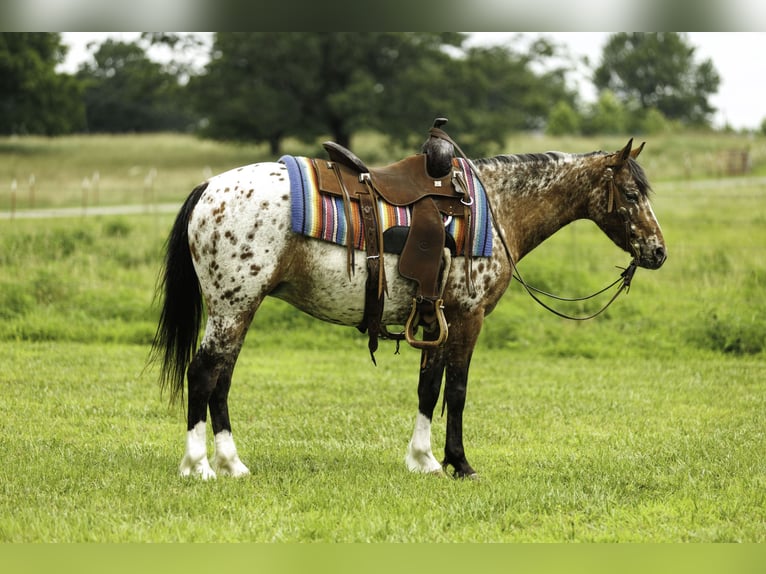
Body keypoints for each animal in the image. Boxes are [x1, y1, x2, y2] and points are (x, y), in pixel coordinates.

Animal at [151, 138, 666, 480]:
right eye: (633, 195)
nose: (658, 252)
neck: (497, 210)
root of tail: (208, 187)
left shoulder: (435, 317)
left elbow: (428, 388)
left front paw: (424, 460)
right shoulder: (467, 316)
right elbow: (456, 390)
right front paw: (460, 463)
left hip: (239, 310)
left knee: (221, 381)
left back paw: (233, 463)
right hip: (232, 307)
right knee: (203, 374)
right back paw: (199, 466)